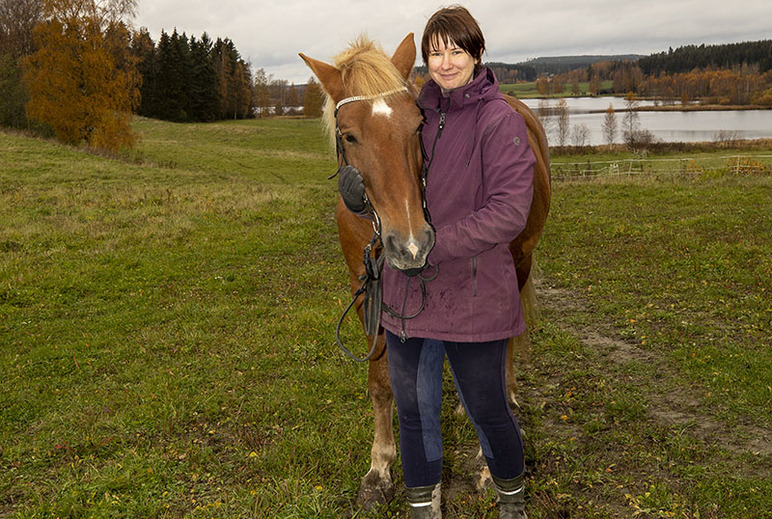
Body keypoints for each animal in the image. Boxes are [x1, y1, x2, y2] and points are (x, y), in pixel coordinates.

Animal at [298, 33, 552, 512]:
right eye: (349, 135)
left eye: (418, 125)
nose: (413, 244)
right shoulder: (367, 292)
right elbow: (382, 383)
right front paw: (379, 469)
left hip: (519, 264)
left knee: (503, 353)